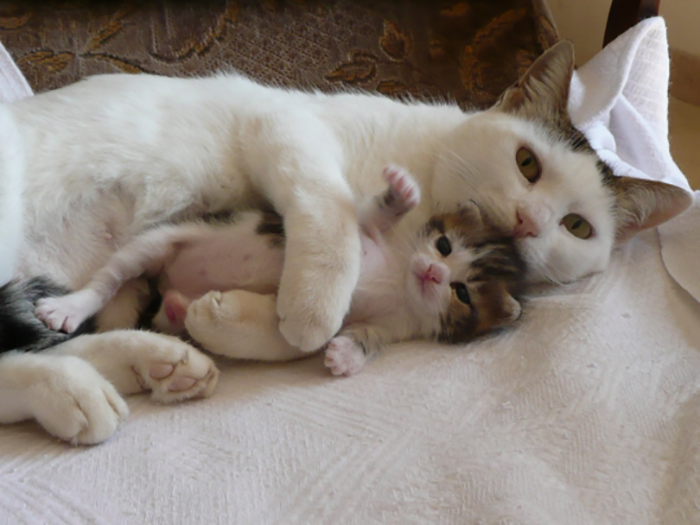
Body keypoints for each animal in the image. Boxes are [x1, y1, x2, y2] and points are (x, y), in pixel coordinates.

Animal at [0, 42, 688, 442]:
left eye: (577, 227)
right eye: (527, 163)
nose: (527, 219)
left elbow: (293, 332)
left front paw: (248, 322)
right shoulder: (284, 128)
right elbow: (331, 216)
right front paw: (312, 308)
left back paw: (137, 368)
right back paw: (84, 381)